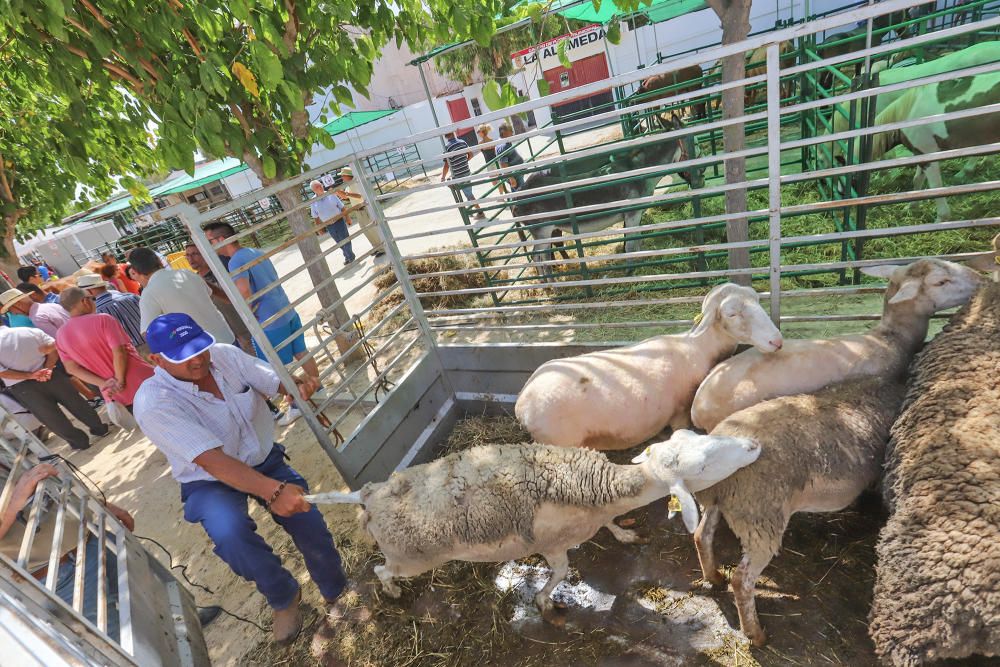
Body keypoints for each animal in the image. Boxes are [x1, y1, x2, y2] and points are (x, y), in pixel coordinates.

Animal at [304, 436, 756, 624]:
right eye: (703, 466)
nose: (754, 446)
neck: (596, 487)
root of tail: (369, 495)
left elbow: (610, 525)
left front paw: (624, 534)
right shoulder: (552, 545)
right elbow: (559, 573)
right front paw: (544, 602)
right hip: (408, 556)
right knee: (381, 570)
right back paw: (393, 592)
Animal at [516, 284, 780, 452]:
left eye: (758, 302)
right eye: (732, 314)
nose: (776, 341)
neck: (697, 346)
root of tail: (522, 403)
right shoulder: (680, 411)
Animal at [688, 378, 908, 648]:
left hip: (719, 505)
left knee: (702, 536)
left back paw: (714, 577)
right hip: (760, 519)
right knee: (742, 580)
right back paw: (756, 635)